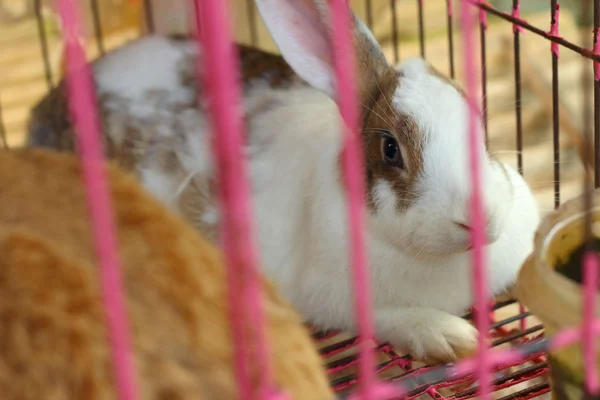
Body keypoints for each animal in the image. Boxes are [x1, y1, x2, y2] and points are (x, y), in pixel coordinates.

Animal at [27, 0, 540, 366]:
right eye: (390, 149)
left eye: (479, 123)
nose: (479, 217)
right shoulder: (331, 298)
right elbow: (390, 317)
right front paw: (449, 337)